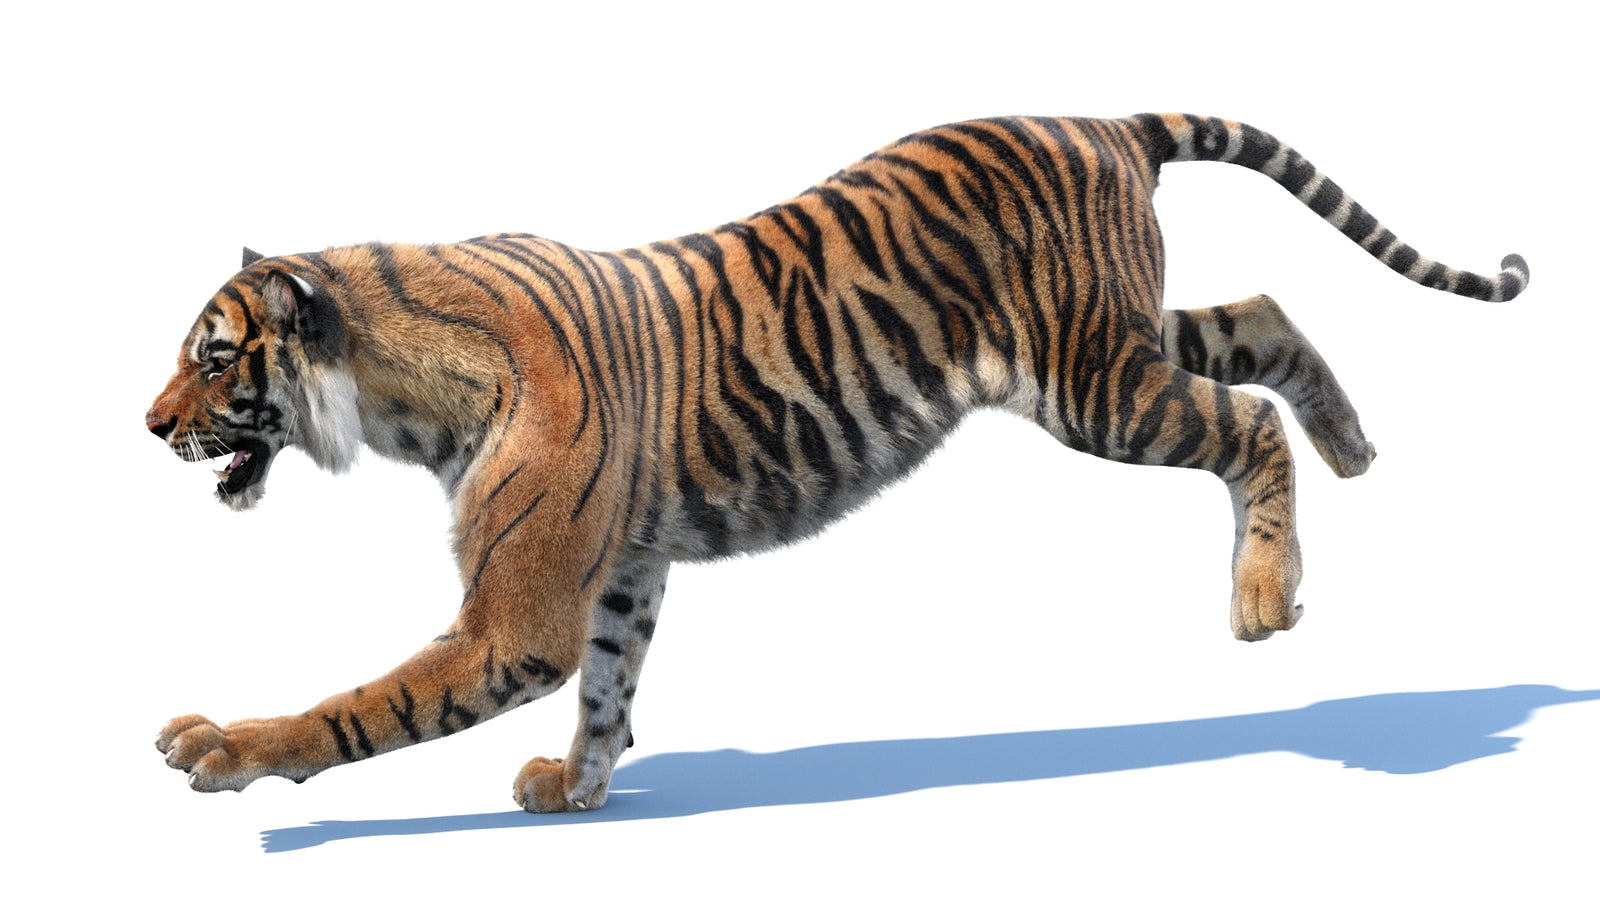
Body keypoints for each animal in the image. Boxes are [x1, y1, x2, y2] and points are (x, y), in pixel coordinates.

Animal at [148, 112, 1528, 813]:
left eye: (214, 361)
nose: (150, 426)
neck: (398, 393)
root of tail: (1101, 118)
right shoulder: (626, 567)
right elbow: (611, 683)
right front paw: (578, 785)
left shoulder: (514, 617)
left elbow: (360, 705)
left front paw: (225, 749)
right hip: (1123, 336)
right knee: (1265, 318)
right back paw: (1356, 446)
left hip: (1096, 383)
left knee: (1243, 422)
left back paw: (1261, 597)